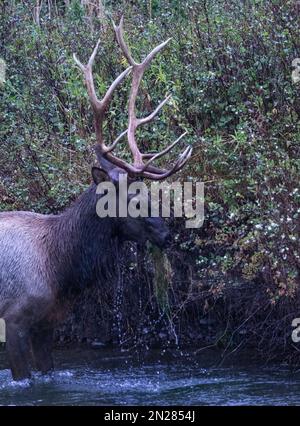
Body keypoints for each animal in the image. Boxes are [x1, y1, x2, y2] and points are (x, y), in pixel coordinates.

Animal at [0, 18, 192, 382]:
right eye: (133, 199)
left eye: (149, 193)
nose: (166, 234)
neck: (61, 269)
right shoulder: (13, 319)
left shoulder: (48, 323)